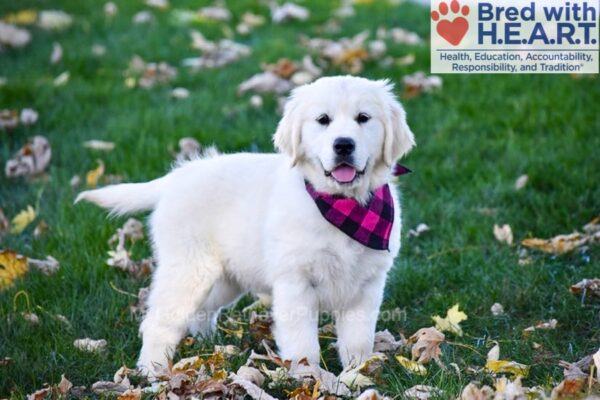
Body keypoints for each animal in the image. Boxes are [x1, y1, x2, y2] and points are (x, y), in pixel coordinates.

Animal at [76, 76, 412, 378]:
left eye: (363, 118)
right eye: (323, 120)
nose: (343, 145)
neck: (341, 205)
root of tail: (175, 178)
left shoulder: (367, 284)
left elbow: (358, 339)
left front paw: (357, 375)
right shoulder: (295, 282)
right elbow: (302, 342)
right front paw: (309, 378)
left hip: (226, 276)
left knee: (204, 309)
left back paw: (207, 344)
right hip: (188, 269)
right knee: (159, 320)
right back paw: (152, 371)